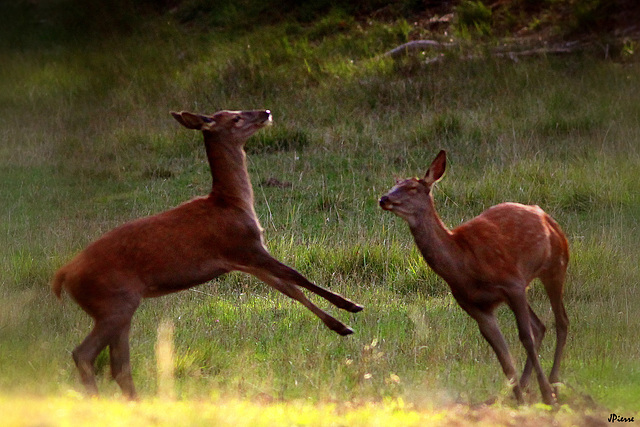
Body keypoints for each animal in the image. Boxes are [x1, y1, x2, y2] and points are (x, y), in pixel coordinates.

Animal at [52, 108, 362, 400]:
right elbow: (299, 277)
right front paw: (351, 305)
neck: (232, 203)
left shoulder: (245, 262)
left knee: (118, 365)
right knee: (85, 354)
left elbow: (291, 290)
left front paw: (340, 326)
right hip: (115, 302)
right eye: (236, 118)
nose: (266, 112)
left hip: (117, 306)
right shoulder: (246, 246)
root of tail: (64, 275)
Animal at [378, 151, 568, 408]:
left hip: (556, 264)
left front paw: (545, 395)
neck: (464, 264)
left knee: (561, 322)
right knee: (540, 326)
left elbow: (524, 337)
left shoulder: (512, 283)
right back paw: (526, 389)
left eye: (411, 188)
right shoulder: (473, 305)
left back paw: (553, 387)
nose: (384, 198)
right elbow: (504, 357)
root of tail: (549, 219)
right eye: (394, 184)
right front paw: (519, 401)